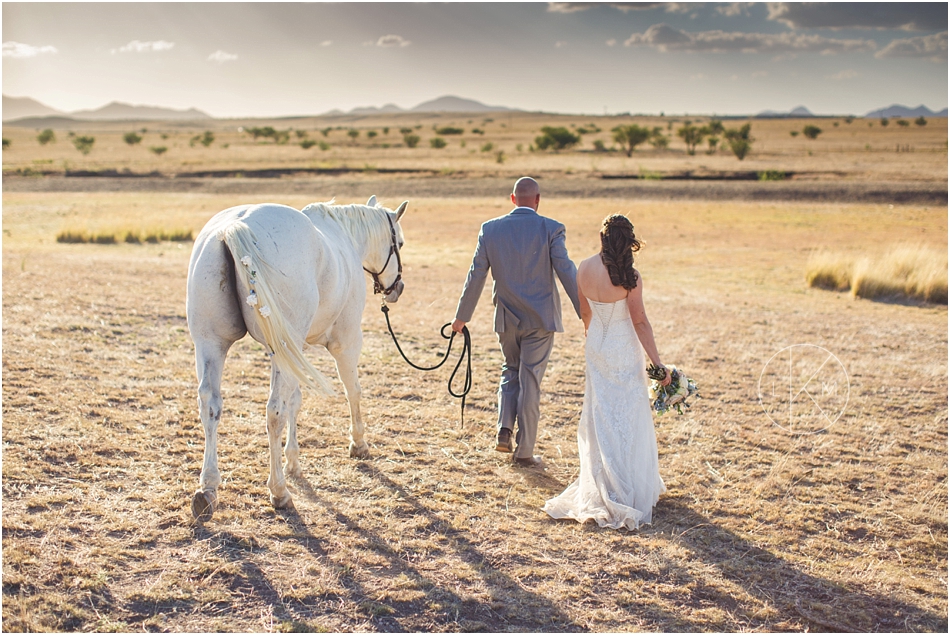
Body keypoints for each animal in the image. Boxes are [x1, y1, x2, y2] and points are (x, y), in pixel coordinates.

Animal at [188, 196, 408, 520]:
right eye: (399, 243)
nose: (397, 289)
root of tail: (233, 227)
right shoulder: (346, 342)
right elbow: (352, 391)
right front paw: (358, 443)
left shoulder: (295, 350)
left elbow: (296, 400)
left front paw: (293, 461)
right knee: (274, 412)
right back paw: (278, 491)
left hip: (211, 344)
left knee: (211, 405)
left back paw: (208, 489)